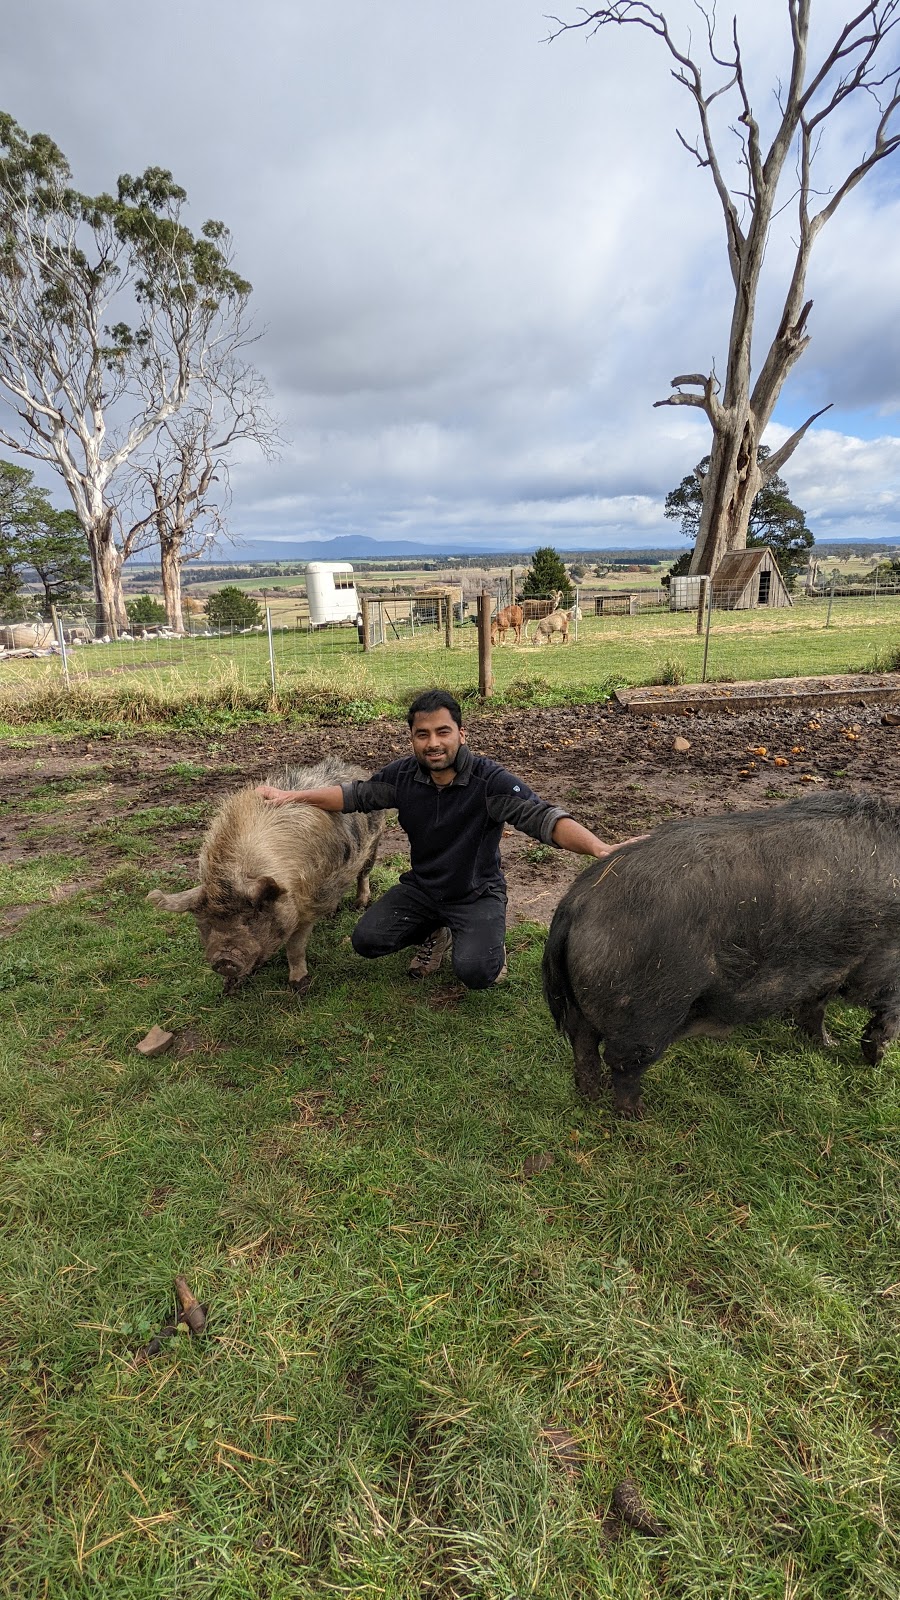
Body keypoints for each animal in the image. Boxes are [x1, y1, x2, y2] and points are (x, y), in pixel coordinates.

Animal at [538, 793, 896, 1120]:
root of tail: (575, 902)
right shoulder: (881, 962)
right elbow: (884, 1010)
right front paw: (874, 1057)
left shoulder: (827, 970)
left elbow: (815, 1006)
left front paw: (827, 1045)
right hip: (648, 1009)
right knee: (621, 1063)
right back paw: (642, 1116)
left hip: (585, 1007)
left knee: (583, 1044)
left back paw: (591, 1096)